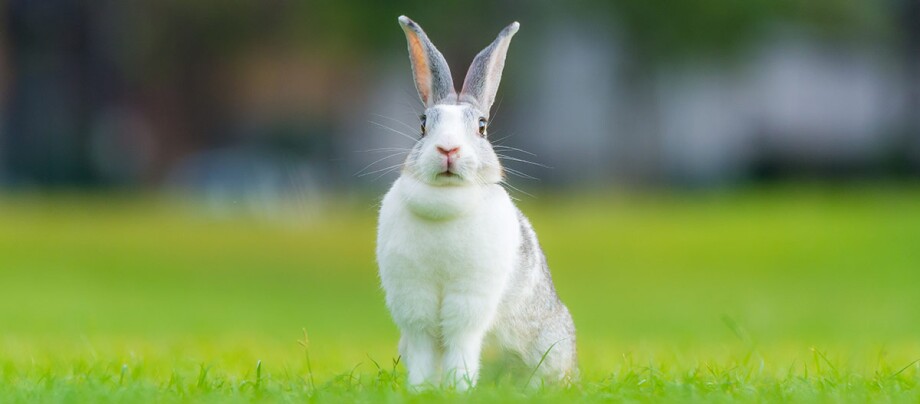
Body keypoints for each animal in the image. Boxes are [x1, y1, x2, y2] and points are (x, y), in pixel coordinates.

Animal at [374, 16, 576, 392]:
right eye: (423, 124)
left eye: (482, 126)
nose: (448, 149)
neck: (446, 199)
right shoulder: (414, 303)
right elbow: (424, 347)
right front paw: (422, 390)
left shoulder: (469, 301)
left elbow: (460, 342)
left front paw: (458, 389)